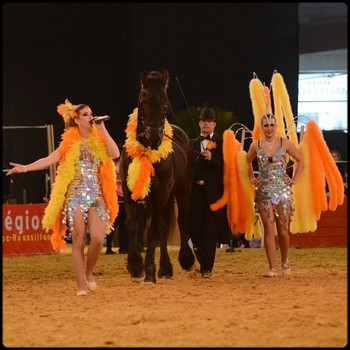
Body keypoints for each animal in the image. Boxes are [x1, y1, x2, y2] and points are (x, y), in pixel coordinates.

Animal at [119, 69, 196, 284]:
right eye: (143, 101)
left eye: (164, 102)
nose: (154, 137)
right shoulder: (129, 190)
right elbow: (132, 226)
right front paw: (135, 267)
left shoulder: (162, 192)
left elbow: (153, 232)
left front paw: (149, 272)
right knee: (161, 226)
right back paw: (165, 268)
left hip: (182, 191)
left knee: (181, 220)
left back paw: (184, 260)